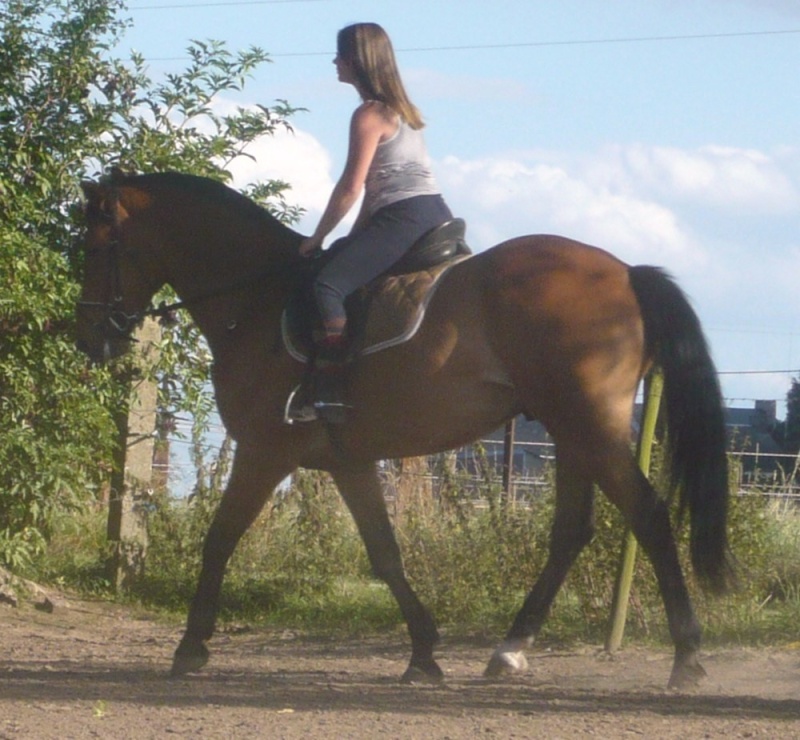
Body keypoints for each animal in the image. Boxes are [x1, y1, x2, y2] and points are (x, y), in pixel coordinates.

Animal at [76, 172, 732, 688]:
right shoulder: (348, 460)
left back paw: (687, 657)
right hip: (569, 433)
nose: (90, 339)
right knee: (572, 531)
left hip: (589, 429)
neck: (258, 300)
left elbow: (220, 538)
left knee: (648, 514)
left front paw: (191, 647)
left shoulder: (264, 452)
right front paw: (423, 654)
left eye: (98, 246)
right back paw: (509, 651)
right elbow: (384, 553)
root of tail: (625, 273)